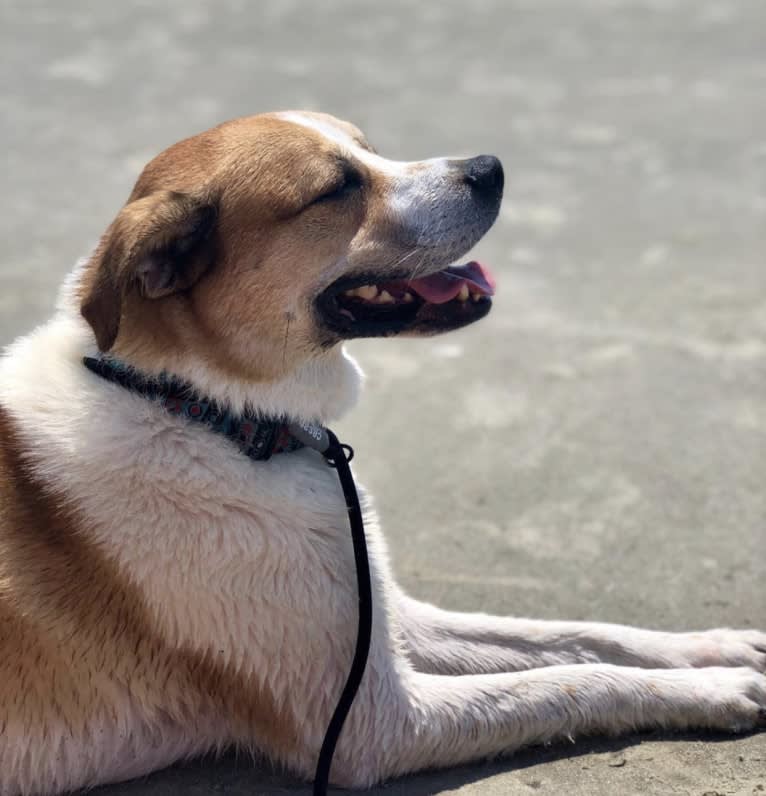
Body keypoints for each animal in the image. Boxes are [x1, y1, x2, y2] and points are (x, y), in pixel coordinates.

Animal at [1, 113, 766, 796]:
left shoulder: (384, 617)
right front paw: (714, 689)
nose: (490, 167)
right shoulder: (374, 724)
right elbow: (571, 681)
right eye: (337, 187)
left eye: (369, 146)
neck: (206, 411)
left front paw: (715, 648)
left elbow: (577, 634)